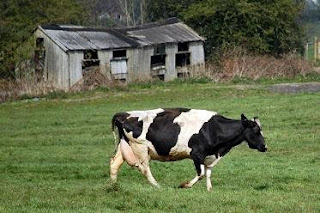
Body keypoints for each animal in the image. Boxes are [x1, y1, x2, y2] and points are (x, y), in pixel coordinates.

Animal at [110, 108, 268, 191]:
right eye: (256, 130)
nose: (265, 147)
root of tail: (125, 114)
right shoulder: (196, 154)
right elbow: (201, 173)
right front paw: (184, 185)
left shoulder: (210, 156)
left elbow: (208, 173)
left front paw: (209, 190)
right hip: (140, 147)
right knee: (144, 168)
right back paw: (157, 185)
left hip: (125, 146)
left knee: (114, 163)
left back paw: (114, 185)